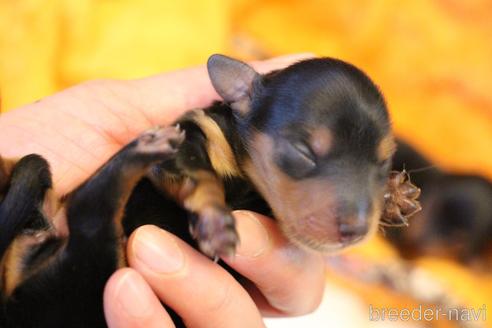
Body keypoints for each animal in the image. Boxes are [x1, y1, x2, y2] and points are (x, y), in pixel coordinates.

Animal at [0, 55, 396, 326]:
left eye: (384, 162)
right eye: (304, 152)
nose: (356, 230)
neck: (250, 181)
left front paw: (396, 196)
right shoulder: (193, 134)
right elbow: (201, 174)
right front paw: (215, 219)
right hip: (91, 275)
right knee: (89, 210)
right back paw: (141, 150)